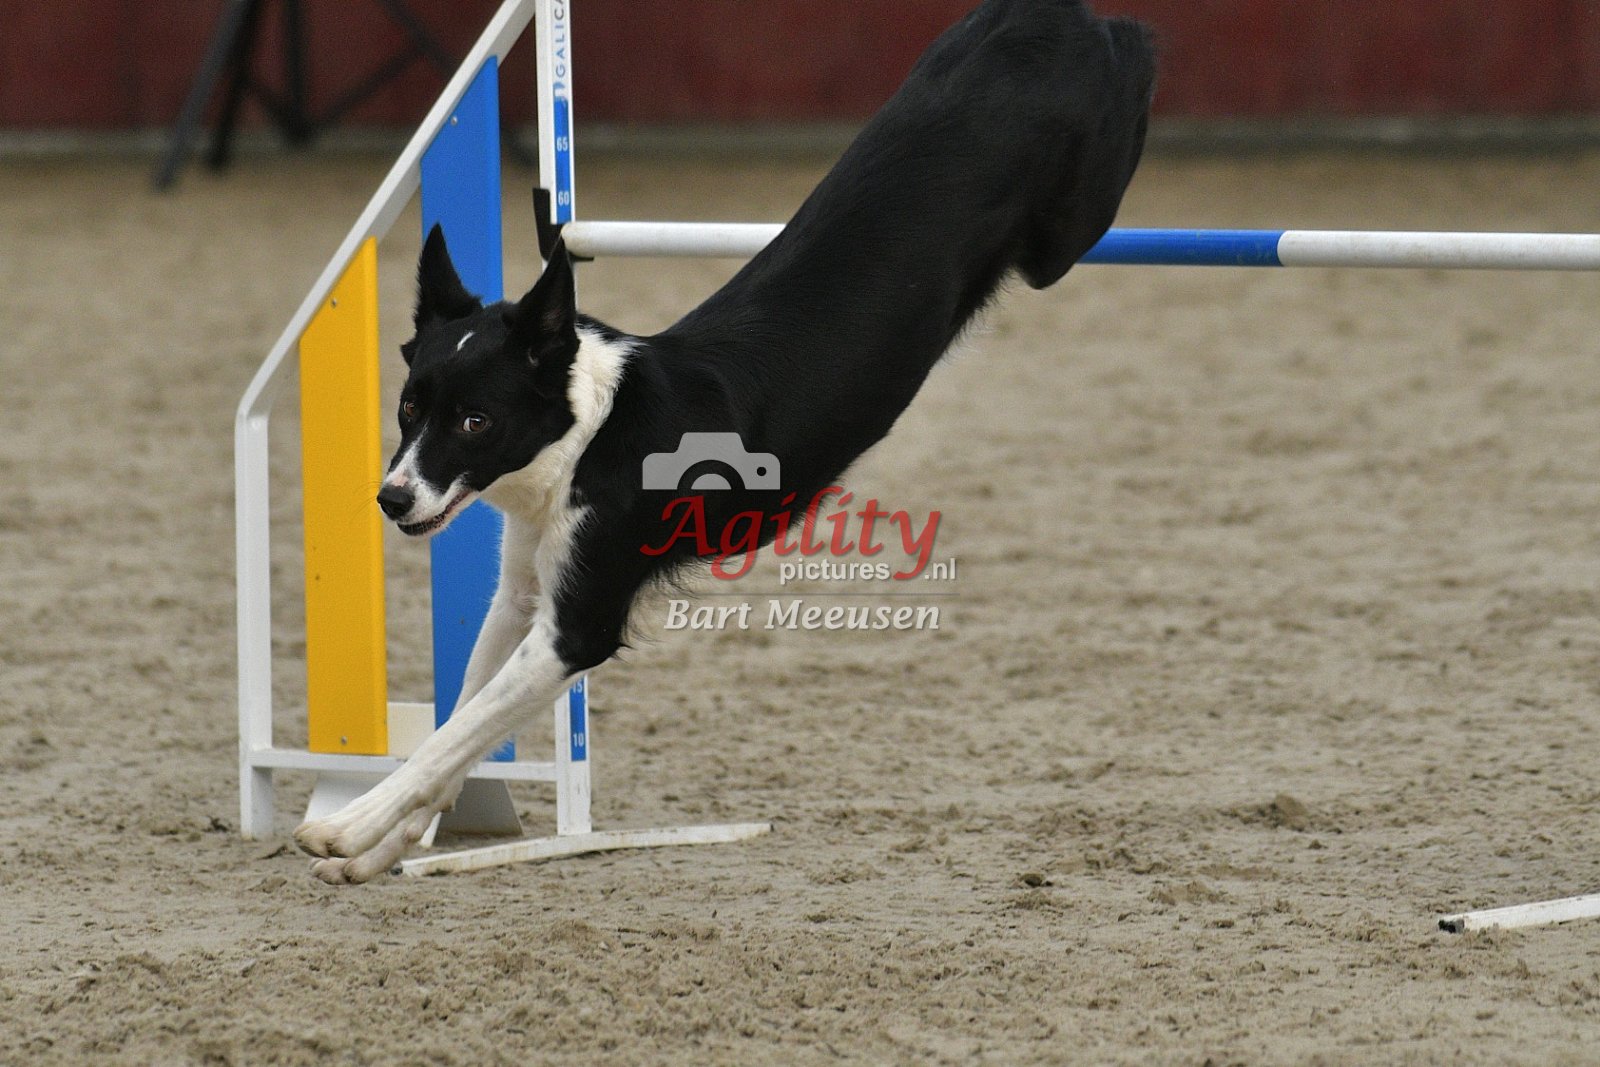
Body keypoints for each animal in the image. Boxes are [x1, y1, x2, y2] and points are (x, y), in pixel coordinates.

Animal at [294, 0, 1156, 882]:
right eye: (408, 408)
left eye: (475, 421)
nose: (391, 498)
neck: (591, 436)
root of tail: (1048, 15)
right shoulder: (523, 595)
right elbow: (457, 728)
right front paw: (384, 846)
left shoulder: (576, 624)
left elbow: (454, 735)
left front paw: (348, 825)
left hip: (1065, 232)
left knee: (1132, 52)